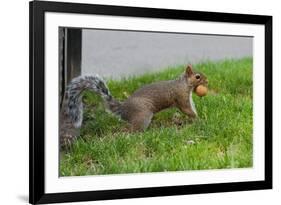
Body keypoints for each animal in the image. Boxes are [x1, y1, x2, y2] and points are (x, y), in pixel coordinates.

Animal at [59, 65, 208, 147]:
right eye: (197, 76)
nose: (207, 81)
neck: (184, 84)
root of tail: (123, 109)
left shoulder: (188, 98)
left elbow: (192, 107)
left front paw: (199, 118)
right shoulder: (181, 97)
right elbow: (187, 109)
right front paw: (198, 119)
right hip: (143, 116)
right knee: (132, 130)